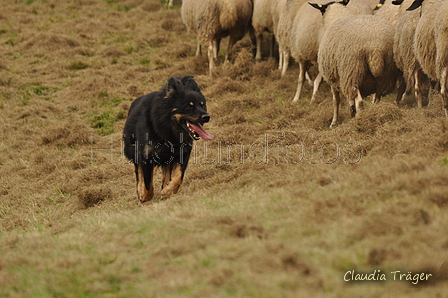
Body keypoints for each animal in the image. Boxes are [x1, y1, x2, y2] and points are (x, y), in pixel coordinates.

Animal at [122, 75, 214, 203]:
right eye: (188, 106)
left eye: (202, 105)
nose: (206, 117)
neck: (165, 127)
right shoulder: (146, 155)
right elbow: (147, 182)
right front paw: (145, 196)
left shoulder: (183, 153)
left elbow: (179, 176)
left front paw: (168, 190)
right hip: (133, 149)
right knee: (138, 171)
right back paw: (140, 190)